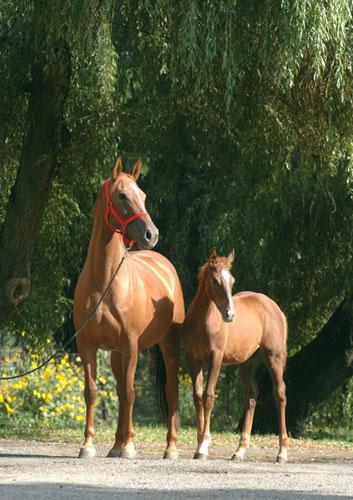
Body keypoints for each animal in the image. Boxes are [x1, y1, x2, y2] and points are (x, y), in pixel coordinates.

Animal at [72, 158, 183, 458]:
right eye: (122, 195)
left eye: (142, 195)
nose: (151, 234)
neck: (105, 282)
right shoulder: (87, 344)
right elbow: (92, 392)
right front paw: (88, 445)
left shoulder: (131, 344)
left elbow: (132, 392)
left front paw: (130, 447)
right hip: (115, 354)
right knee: (121, 391)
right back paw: (117, 444)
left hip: (168, 346)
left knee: (170, 390)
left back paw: (169, 448)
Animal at [180, 250, 288, 464]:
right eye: (214, 280)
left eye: (232, 280)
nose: (230, 314)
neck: (202, 322)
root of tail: (275, 307)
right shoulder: (192, 360)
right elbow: (197, 397)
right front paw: (199, 443)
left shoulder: (215, 358)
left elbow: (208, 396)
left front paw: (203, 446)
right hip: (246, 363)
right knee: (251, 396)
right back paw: (239, 451)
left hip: (274, 356)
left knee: (279, 393)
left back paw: (282, 452)